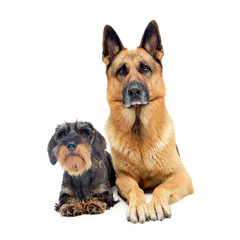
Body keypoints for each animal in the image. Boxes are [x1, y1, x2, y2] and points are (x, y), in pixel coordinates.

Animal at [101, 20, 193, 223]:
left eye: (144, 68)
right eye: (122, 71)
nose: (134, 90)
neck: (139, 131)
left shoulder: (181, 176)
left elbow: (161, 186)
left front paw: (156, 204)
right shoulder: (123, 178)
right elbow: (135, 189)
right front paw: (138, 206)